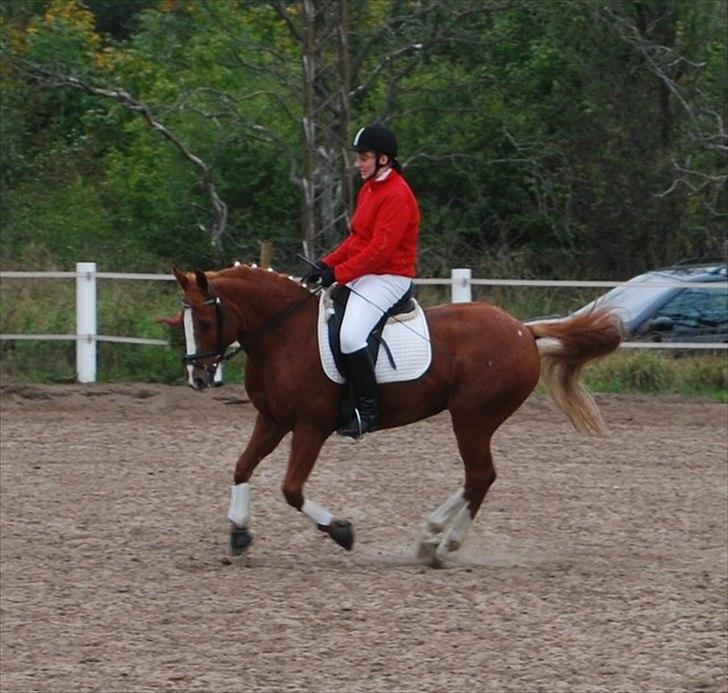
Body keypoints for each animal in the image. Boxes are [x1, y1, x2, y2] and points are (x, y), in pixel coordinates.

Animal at [171, 262, 620, 564]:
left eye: (206, 321)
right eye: (183, 321)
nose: (197, 376)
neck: (284, 336)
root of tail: (524, 331)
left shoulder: (310, 426)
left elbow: (291, 489)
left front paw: (342, 531)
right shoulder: (273, 419)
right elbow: (242, 466)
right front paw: (239, 531)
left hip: (472, 419)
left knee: (480, 476)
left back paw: (444, 545)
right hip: (472, 420)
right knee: (475, 479)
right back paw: (430, 537)